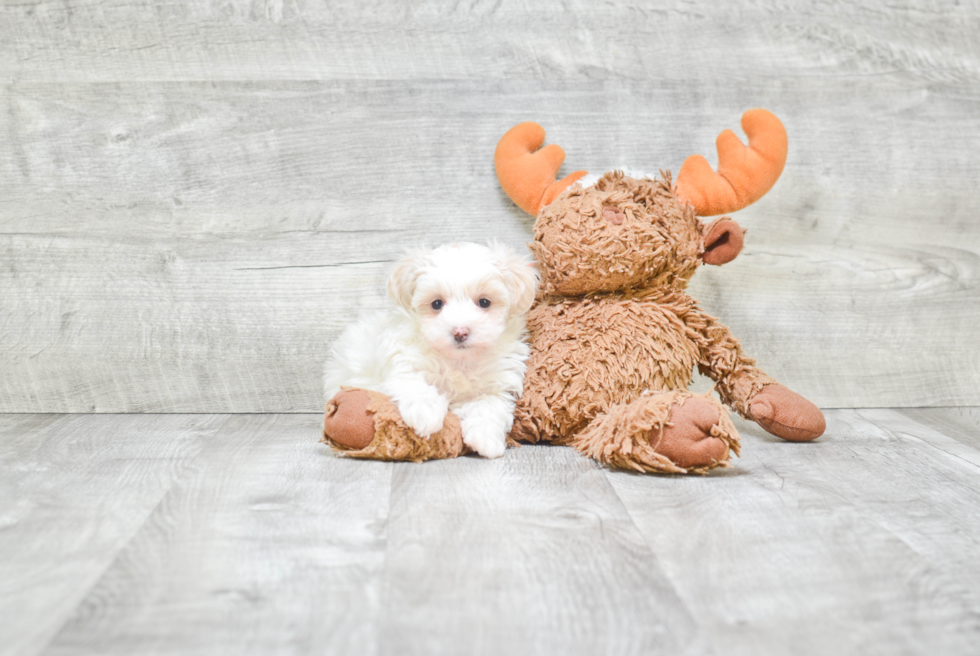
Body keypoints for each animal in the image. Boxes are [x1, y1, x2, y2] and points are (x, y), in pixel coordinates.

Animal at [322, 242, 536, 462]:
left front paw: (487, 438)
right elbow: (415, 384)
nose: (460, 332)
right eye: (436, 303)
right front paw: (426, 414)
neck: (459, 360)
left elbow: (489, 405)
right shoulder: (402, 360)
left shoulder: (499, 382)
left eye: (484, 302)